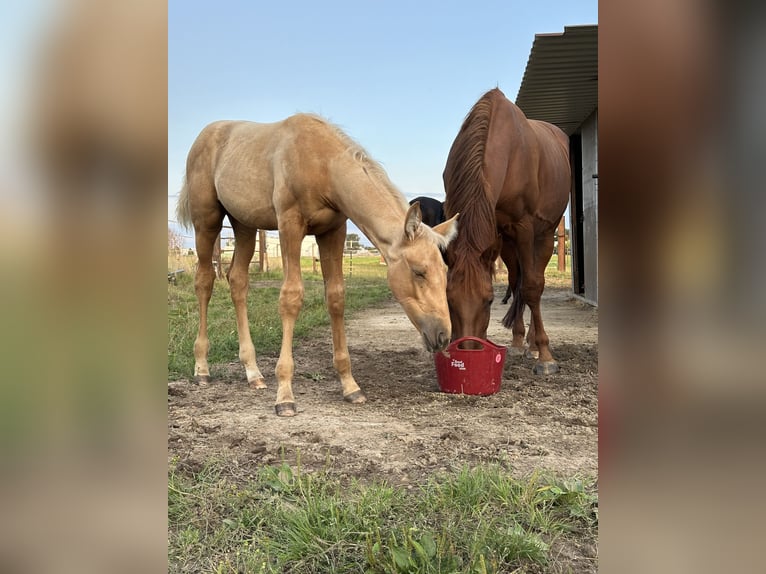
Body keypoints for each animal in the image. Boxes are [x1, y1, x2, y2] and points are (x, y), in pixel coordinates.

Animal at [444, 89, 568, 378]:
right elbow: (517, 284)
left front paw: (546, 357)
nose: (467, 348)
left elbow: (532, 287)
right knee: (516, 281)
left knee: (534, 283)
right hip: (509, 243)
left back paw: (534, 345)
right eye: (448, 299)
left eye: (489, 301)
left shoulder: (523, 227)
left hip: (543, 236)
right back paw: (520, 341)